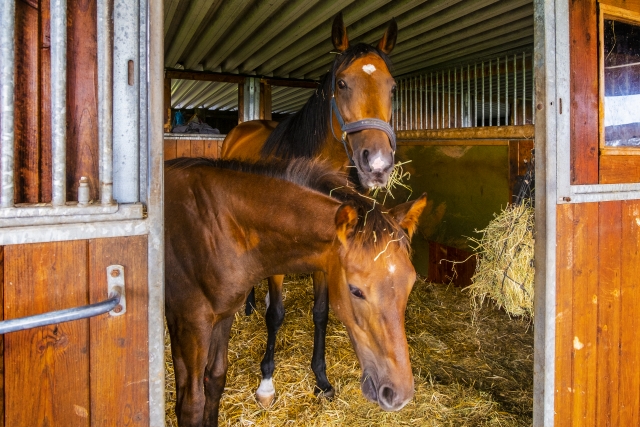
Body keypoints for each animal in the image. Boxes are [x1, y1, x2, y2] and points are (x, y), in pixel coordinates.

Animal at [165, 158, 424, 427]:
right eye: (356, 291)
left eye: (410, 283)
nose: (398, 394)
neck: (219, 228)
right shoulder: (189, 323)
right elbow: (191, 405)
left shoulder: (223, 316)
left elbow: (215, 380)